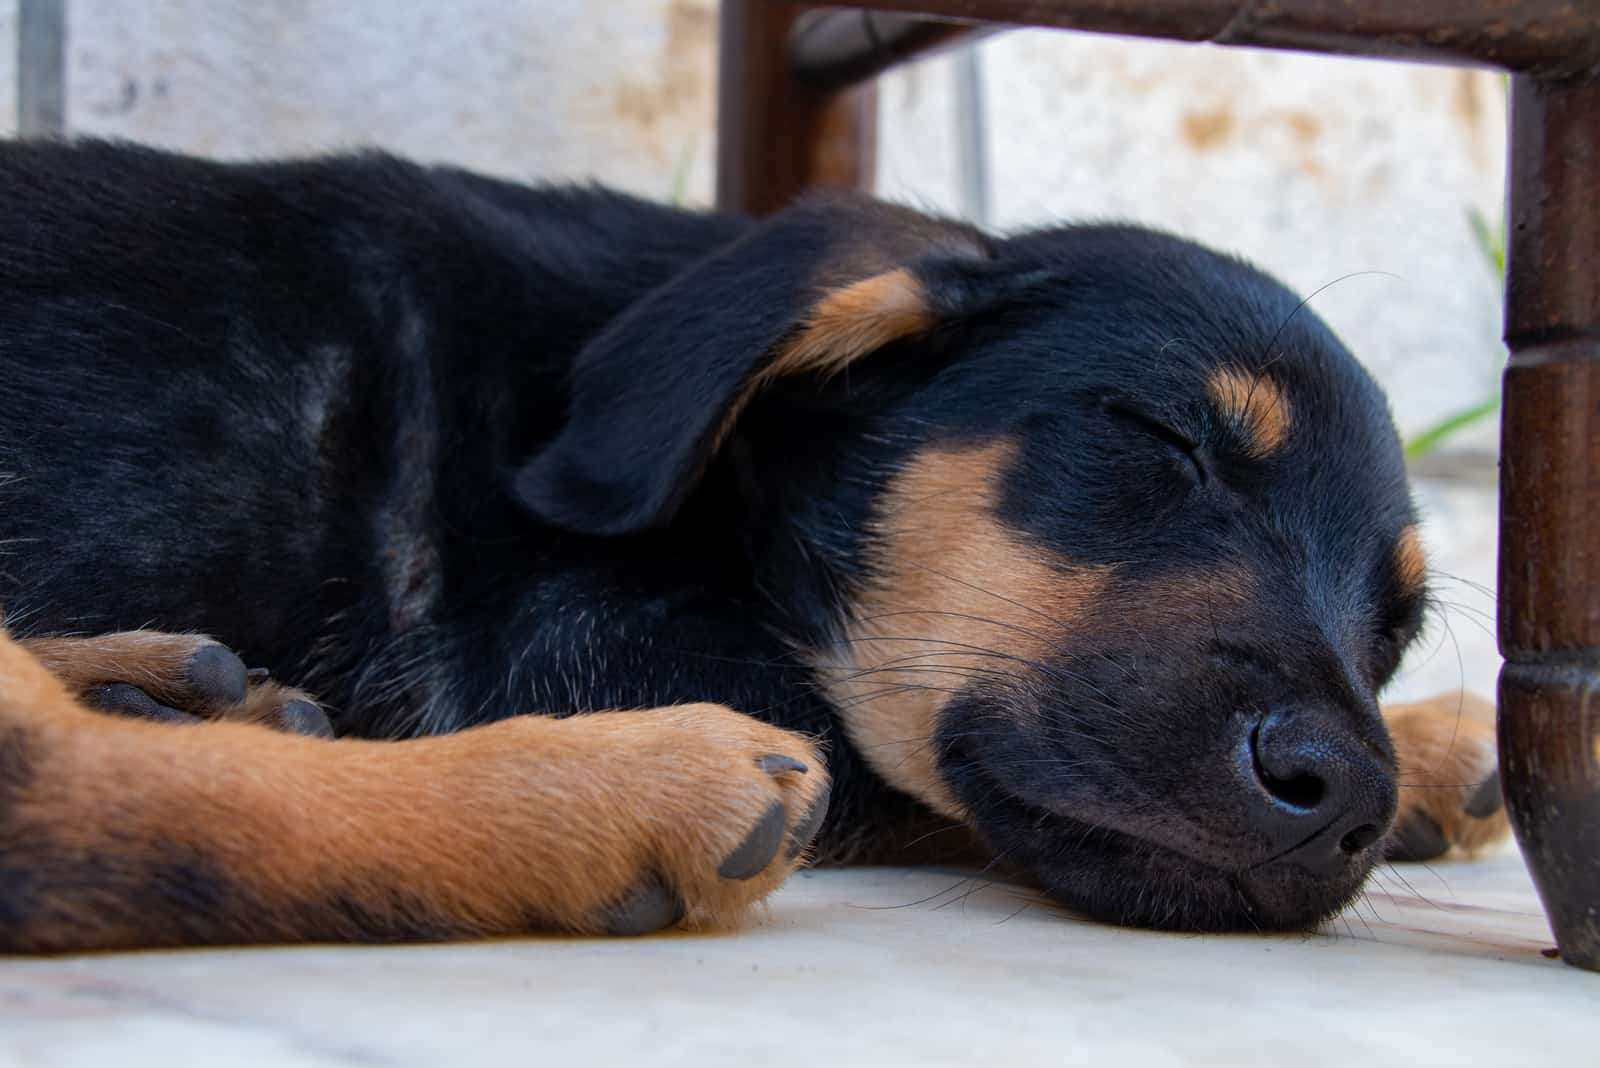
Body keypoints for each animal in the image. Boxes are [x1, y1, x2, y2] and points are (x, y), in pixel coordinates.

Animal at [0, 139, 1497, 952]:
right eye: (1162, 437)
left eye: (1395, 629)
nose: (1344, 793)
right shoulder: (582, 644)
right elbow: (906, 779)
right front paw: (1439, 756)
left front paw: (1441, 752)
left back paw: (170, 686)